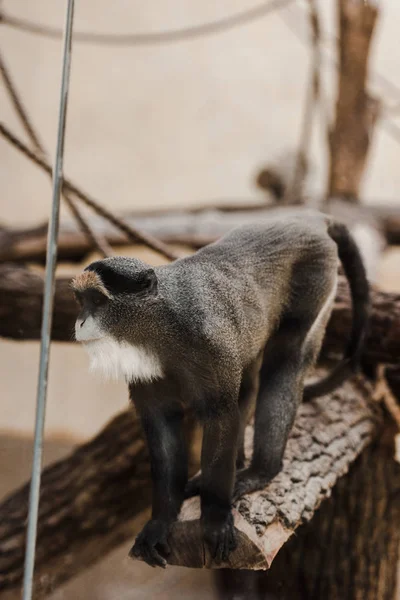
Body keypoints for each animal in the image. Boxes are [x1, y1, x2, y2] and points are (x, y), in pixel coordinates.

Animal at [71, 210, 368, 568]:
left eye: (97, 300)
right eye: (81, 301)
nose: (80, 323)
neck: (157, 323)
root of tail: (307, 216)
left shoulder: (210, 342)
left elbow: (221, 415)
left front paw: (214, 521)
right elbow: (162, 427)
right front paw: (160, 522)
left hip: (316, 280)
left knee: (285, 363)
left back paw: (260, 471)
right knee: (250, 381)